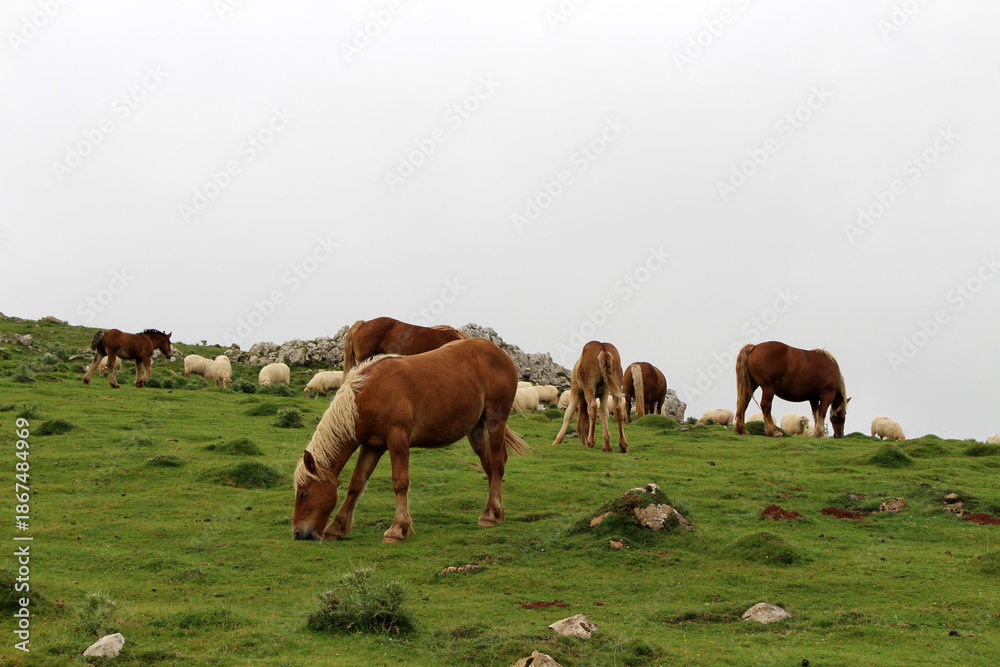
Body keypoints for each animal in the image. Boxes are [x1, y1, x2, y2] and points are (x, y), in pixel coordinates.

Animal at [292, 337, 530, 543]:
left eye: (303, 494)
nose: (297, 533)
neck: (369, 392)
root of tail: (501, 354)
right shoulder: (372, 445)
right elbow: (356, 483)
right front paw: (336, 527)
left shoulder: (397, 439)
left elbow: (400, 483)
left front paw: (398, 529)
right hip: (476, 430)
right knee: (489, 466)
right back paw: (495, 511)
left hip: (495, 420)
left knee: (498, 462)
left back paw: (491, 514)